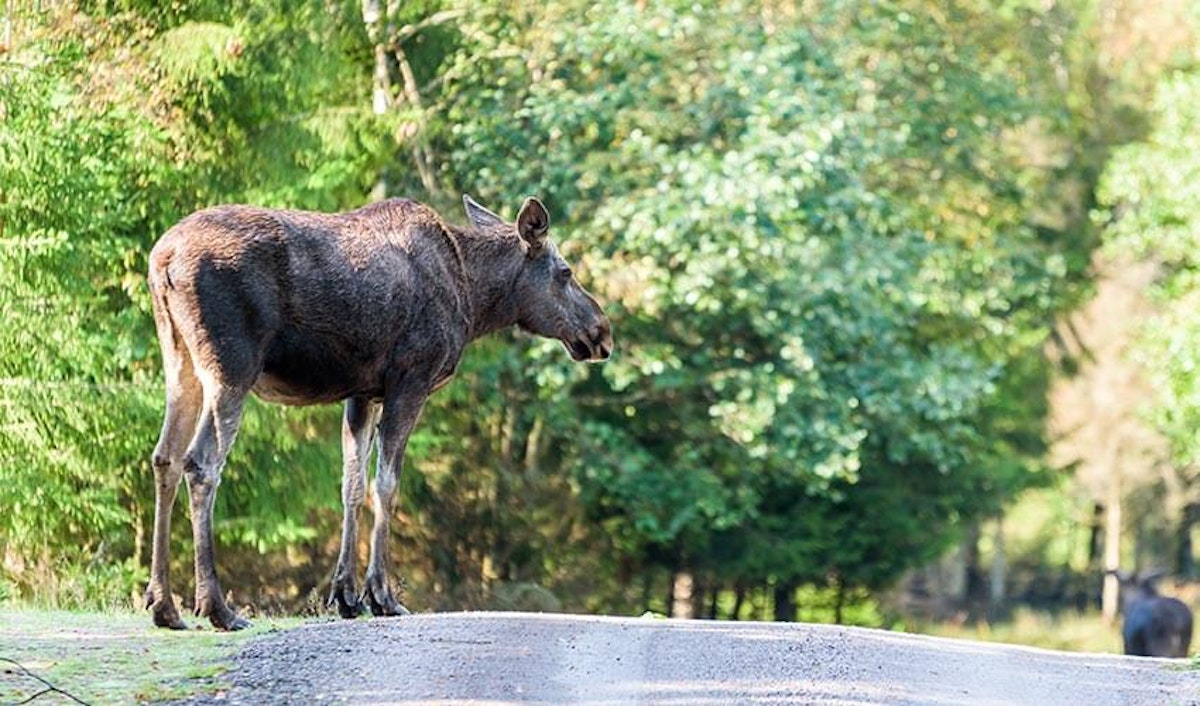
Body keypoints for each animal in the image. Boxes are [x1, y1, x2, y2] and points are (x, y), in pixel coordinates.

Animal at [145, 193, 614, 629]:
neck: (474, 297)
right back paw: (217, 607)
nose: (601, 332)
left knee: (165, 456)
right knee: (201, 462)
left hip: (179, 361)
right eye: (566, 272)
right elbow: (386, 483)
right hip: (232, 366)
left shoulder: (362, 392)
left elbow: (351, 485)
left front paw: (346, 596)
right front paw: (382, 597)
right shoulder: (411, 379)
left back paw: (165, 605)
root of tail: (162, 259)